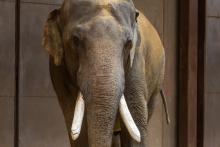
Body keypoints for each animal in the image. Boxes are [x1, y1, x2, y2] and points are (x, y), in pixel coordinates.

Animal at [42, 0, 169, 147]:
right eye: (75, 40)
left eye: (128, 43)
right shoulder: (58, 70)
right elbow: (76, 124)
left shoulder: (136, 61)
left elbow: (136, 116)